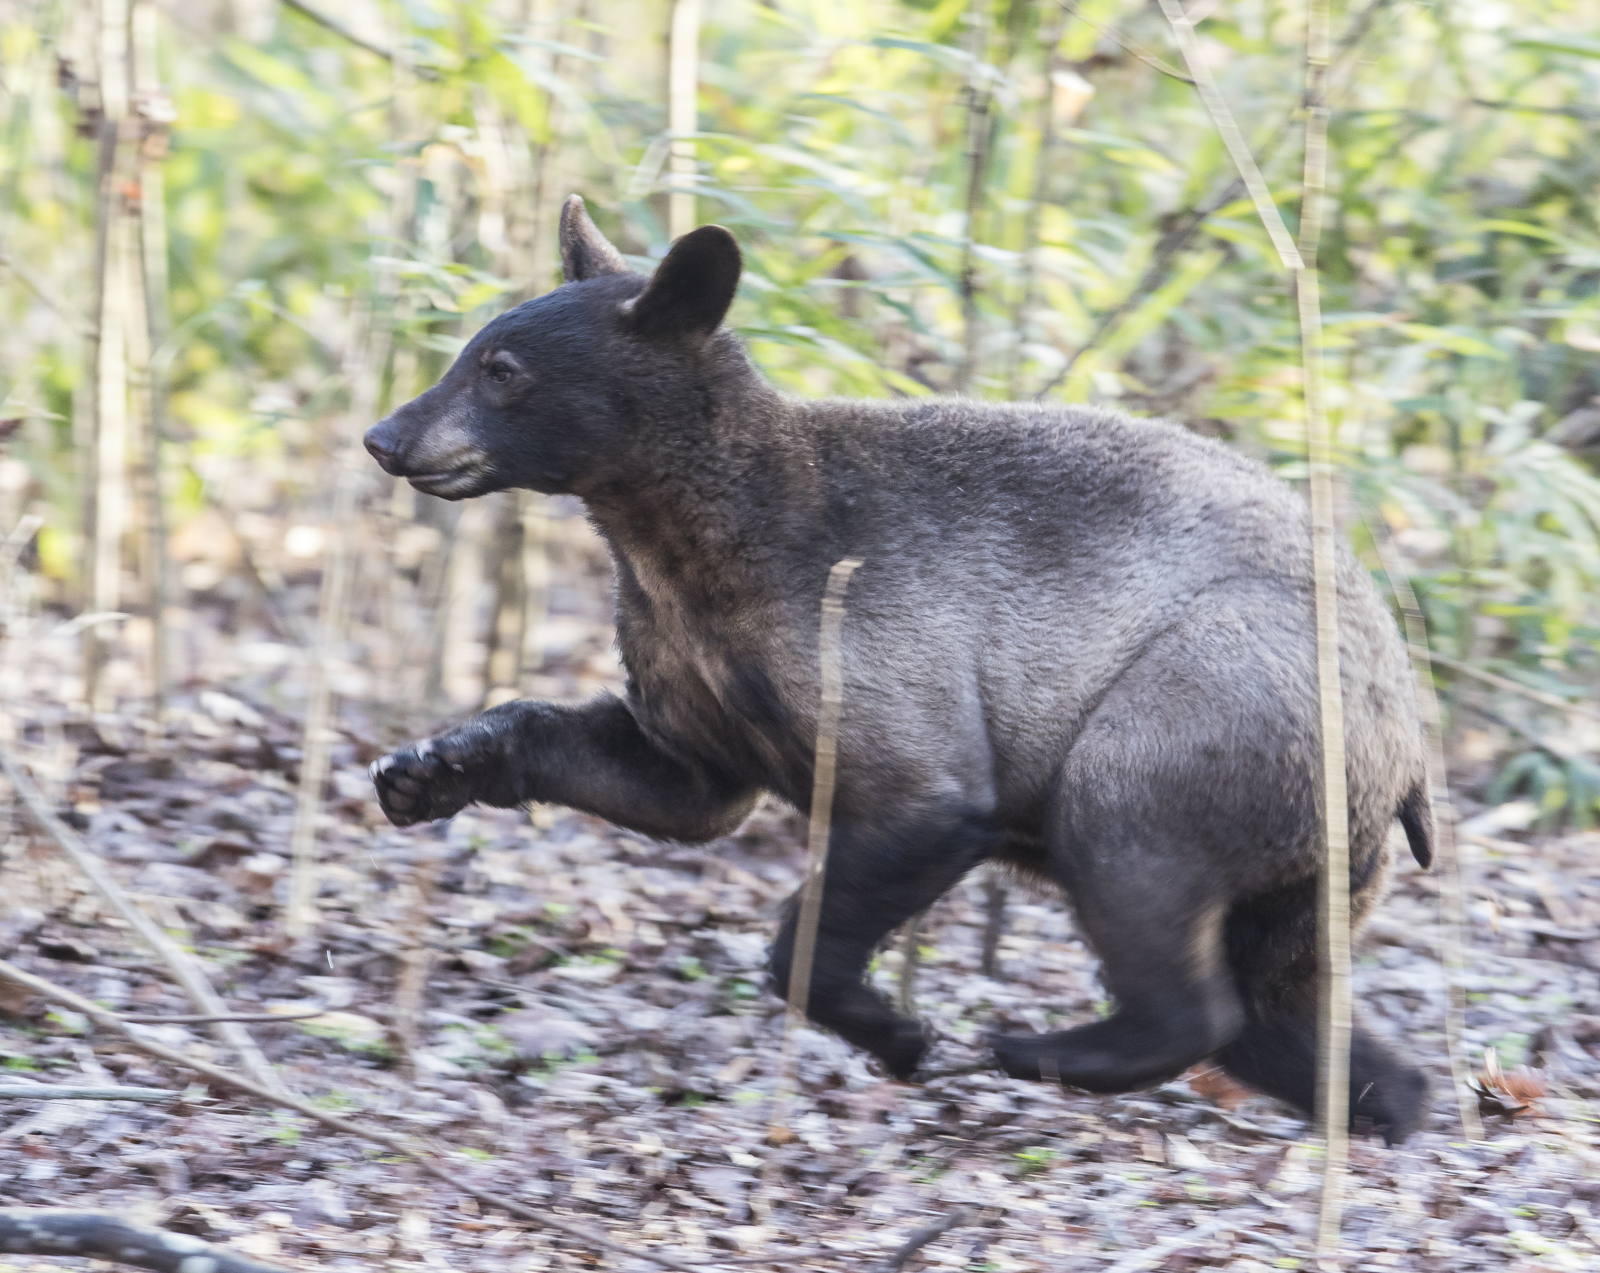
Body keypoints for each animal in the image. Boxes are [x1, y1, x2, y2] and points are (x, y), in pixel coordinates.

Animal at [363, 196, 1434, 1144]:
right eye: (471, 350)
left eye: (501, 370)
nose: (386, 436)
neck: (692, 556)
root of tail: (1407, 739)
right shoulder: (696, 675)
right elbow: (678, 785)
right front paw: (428, 768)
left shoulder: (872, 646)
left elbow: (921, 810)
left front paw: (899, 1031)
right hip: (1315, 845)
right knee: (1282, 999)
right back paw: (1383, 1106)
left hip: (1215, 710)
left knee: (1139, 861)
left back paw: (1041, 1048)